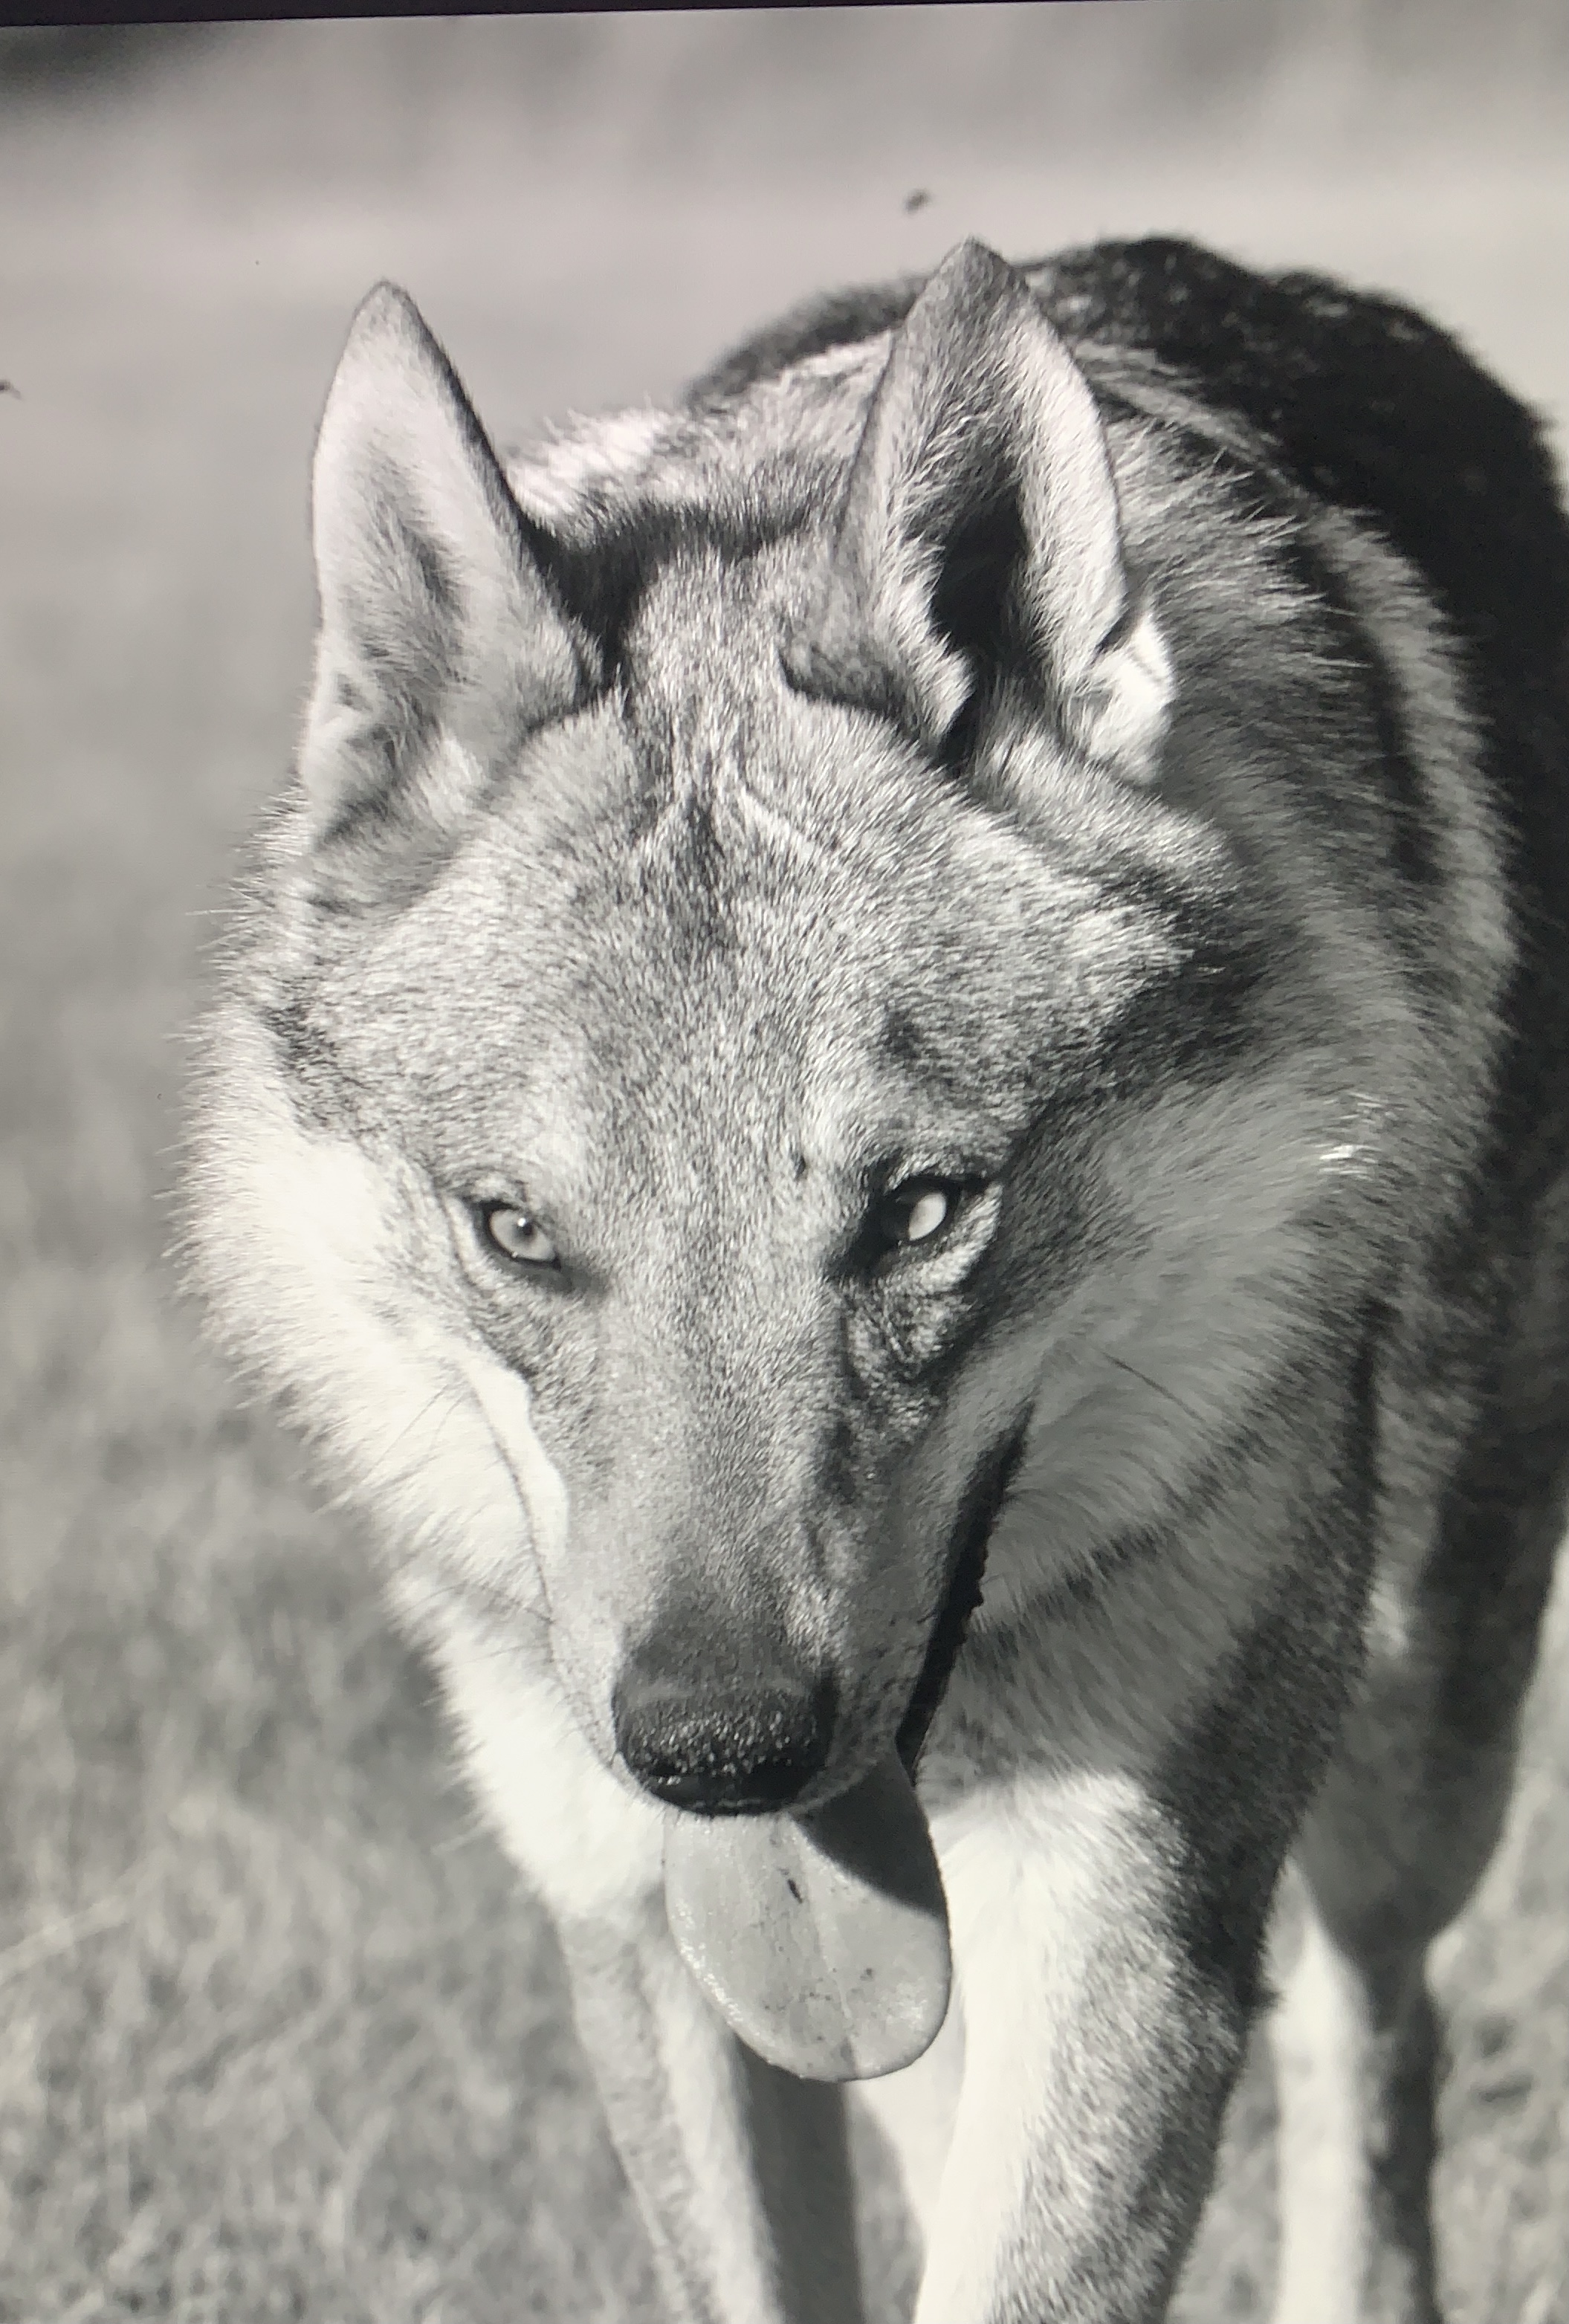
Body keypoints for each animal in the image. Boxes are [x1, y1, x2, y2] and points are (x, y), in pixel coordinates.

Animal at [185, 235, 1569, 2323]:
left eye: (918, 1212)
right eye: (517, 1231)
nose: (717, 1746)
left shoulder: (1125, 1917)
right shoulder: (628, 1913)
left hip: (1413, 1760)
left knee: (1372, 2034)